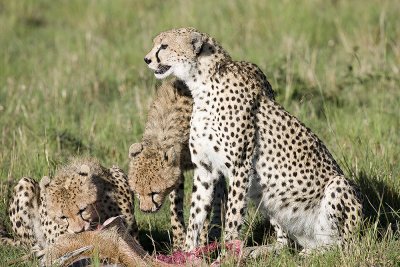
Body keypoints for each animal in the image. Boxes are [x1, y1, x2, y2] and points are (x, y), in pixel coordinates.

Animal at [130, 78, 227, 250]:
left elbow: (203, 204)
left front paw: (201, 241)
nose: (145, 210)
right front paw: (178, 242)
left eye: (154, 192)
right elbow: (175, 208)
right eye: (137, 191)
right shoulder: (178, 170)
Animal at [144, 27, 362, 253]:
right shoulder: (205, 168)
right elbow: (196, 215)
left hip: (338, 186)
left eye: (164, 46)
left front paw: (227, 256)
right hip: (269, 199)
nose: (147, 59)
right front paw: (188, 253)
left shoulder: (240, 167)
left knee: (344, 247)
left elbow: (232, 217)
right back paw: (260, 251)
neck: (201, 84)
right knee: (285, 243)